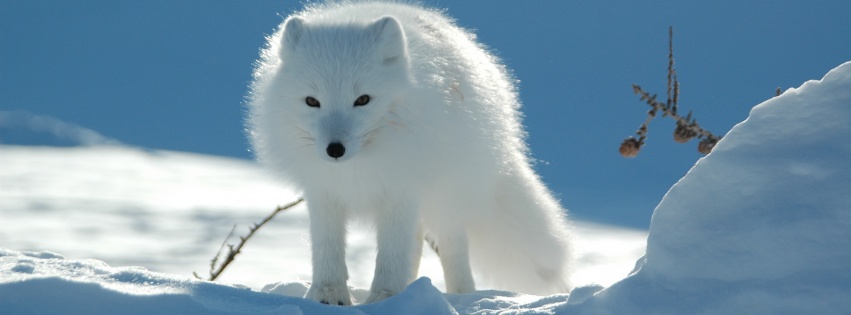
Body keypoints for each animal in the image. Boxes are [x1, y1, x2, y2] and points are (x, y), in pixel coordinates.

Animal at [250, 0, 576, 306]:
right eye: (312, 101)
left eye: (363, 99)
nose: (334, 150)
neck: (358, 167)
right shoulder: (323, 191)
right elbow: (327, 248)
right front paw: (328, 296)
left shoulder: (401, 188)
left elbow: (393, 253)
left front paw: (384, 298)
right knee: (417, 243)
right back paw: (412, 288)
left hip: (447, 195)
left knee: (452, 245)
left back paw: (460, 296)